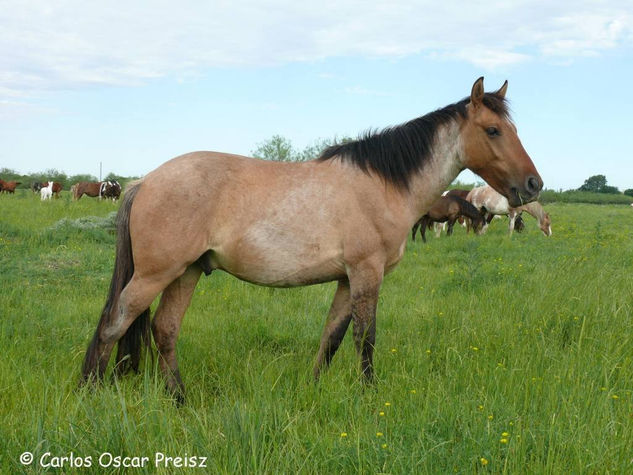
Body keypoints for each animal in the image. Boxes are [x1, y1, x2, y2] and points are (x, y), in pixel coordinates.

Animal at [80, 79, 544, 402]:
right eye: (493, 130)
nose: (533, 184)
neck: (382, 184)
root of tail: (144, 182)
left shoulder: (345, 279)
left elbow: (332, 337)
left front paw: (316, 388)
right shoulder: (366, 273)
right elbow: (365, 338)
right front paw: (369, 396)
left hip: (187, 272)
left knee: (165, 329)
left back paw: (178, 399)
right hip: (156, 274)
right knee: (115, 323)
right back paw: (92, 395)